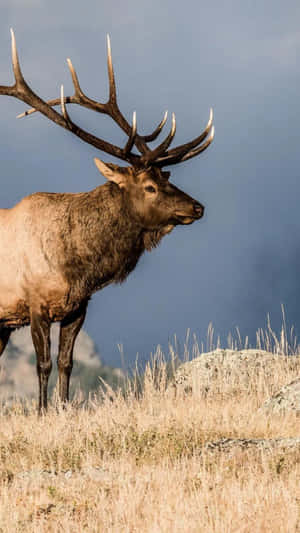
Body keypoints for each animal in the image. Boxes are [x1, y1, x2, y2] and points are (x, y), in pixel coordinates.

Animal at [0, 29, 214, 412]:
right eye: (149, 187)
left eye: (168, 178)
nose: (197, 208)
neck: (75, 264)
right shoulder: (35, 303)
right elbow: (43, 363)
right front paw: (41, 411)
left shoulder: (78, 307)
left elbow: (66, 363)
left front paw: (64, 409)